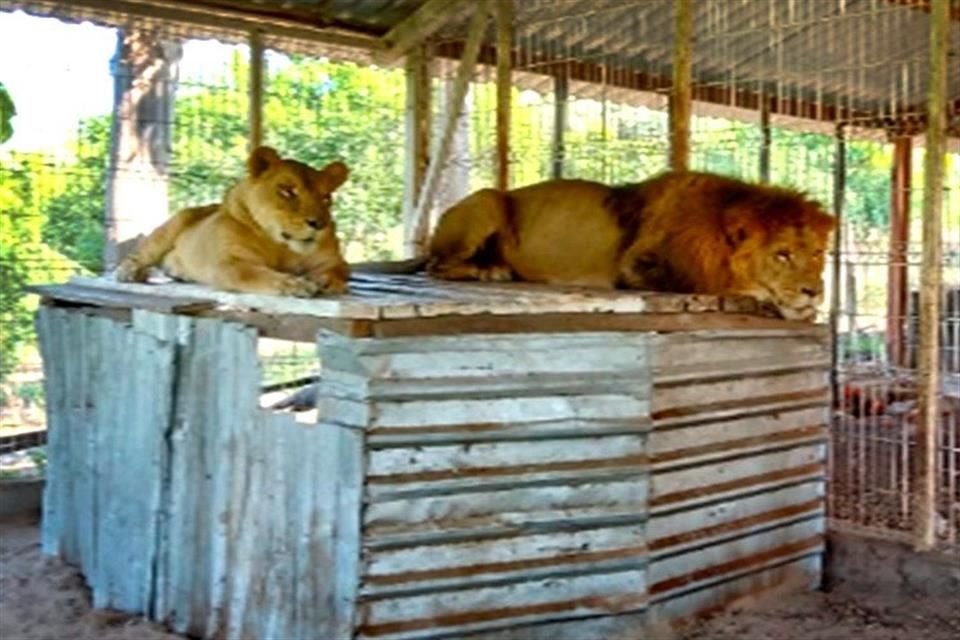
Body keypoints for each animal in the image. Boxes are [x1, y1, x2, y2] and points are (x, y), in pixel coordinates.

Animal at [114, 146, 350, 298]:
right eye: (287, 191)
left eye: (326, 198)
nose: (319, 225)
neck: (281, 246)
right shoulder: (228, 264)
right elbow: (257, 274)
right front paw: (294, 284)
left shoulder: (333, 261)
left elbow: (338, 271)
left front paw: (323, 281)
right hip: (175, 223)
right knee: (141, 253)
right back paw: (129, 272)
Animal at [426, 170, 832, 322]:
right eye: (782, 254)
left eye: (817, 254)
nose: (814, 291)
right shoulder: (639, 266)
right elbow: (718, 283)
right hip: (488, 198)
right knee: (436, 266)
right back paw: (491, 269)